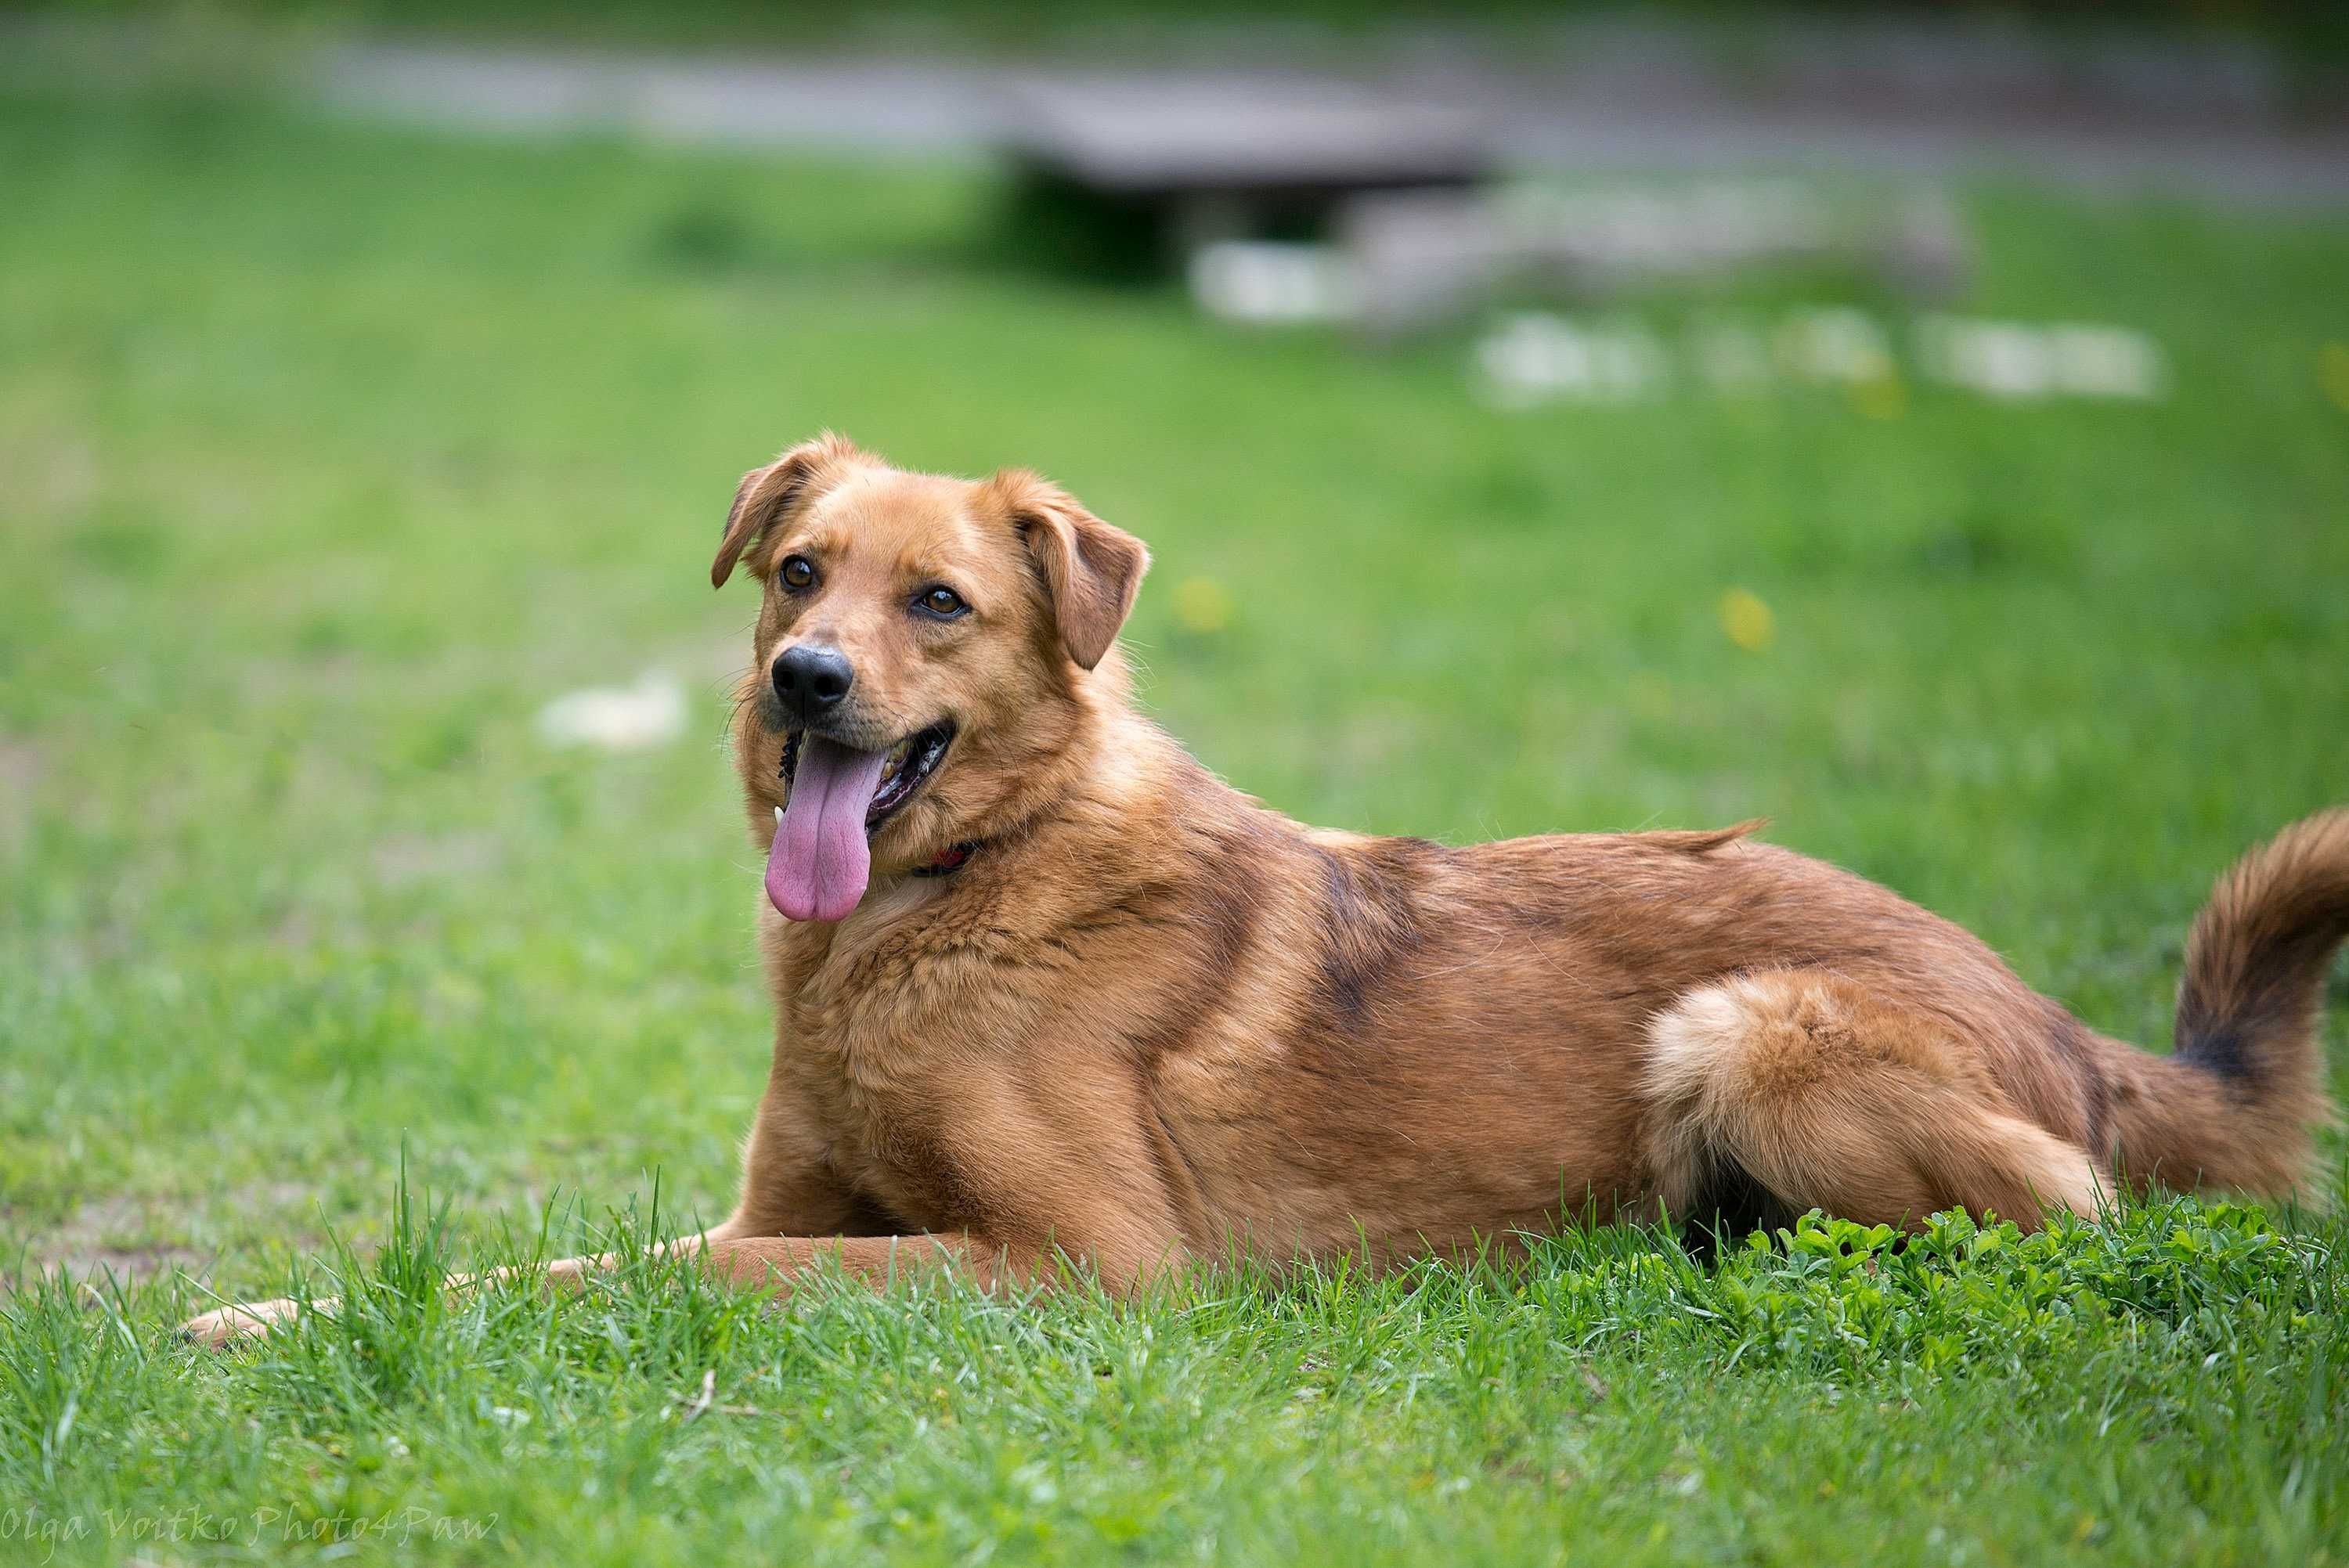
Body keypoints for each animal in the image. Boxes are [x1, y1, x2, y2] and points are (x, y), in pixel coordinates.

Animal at [188, 431, 2349, 1352]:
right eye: (799, 571)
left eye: (936, 603)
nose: (802, 679)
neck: (949, 907)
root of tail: (2065, 1020)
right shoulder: (783, 1193)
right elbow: (544, 1256)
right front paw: (276, 1307)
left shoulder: (1089, 1262)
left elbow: (692, 1272)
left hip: (1749, 1034)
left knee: (2057, 1220)